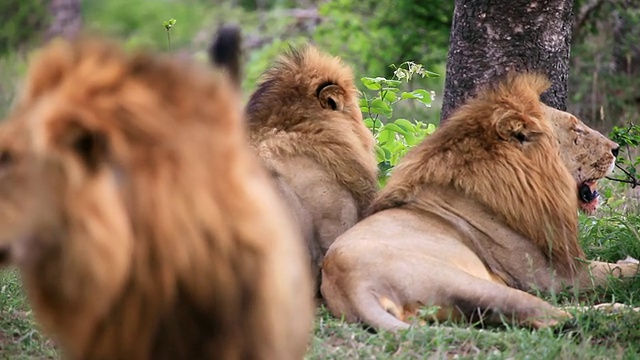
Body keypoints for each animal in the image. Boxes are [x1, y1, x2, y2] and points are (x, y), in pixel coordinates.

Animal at [322, 71, 636, 330]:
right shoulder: (554, 276)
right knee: (552, 316)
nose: (616, 148)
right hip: (473, 282)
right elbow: (621, 271)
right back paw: (625, 312)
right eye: (577, 130)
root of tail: (354, 285)